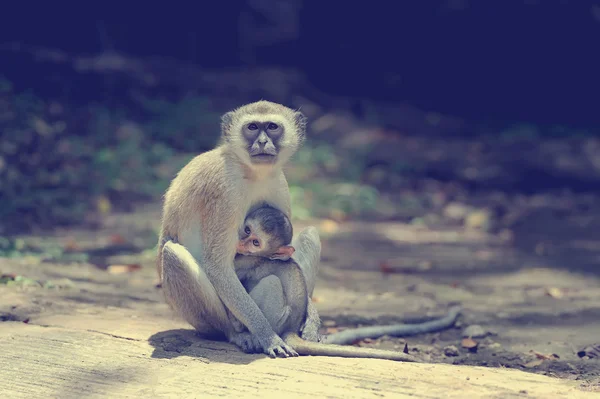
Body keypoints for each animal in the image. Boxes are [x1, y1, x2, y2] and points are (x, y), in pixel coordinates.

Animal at [157, 101, 322, 358]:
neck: (251, 172)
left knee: (310, 234)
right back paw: (235, 333)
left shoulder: (279, 184)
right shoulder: (224, 190)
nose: (262, 142)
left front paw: (312, 320)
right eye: (252, 127)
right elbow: (217, 266)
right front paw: (268, 336)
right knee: (173, 253)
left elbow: (287, 250)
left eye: (272, 127)